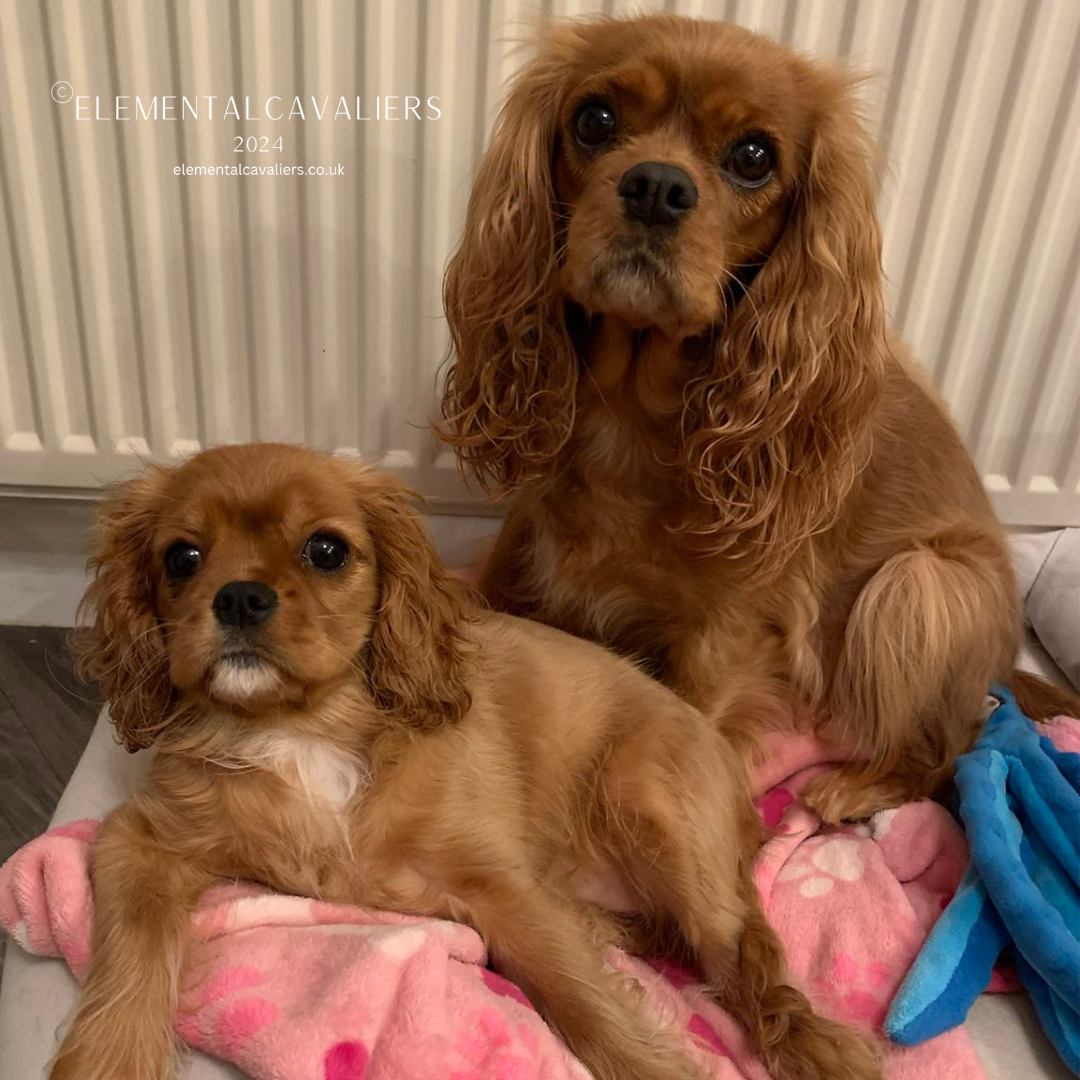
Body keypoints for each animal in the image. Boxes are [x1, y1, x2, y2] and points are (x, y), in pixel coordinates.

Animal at [52, 442, 876, 1080]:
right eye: (181, 558)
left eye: (326, 550)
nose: (241, 597)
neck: (305, 729)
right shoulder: (139, 843)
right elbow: (130, 963)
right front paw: (106, 1060)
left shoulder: (503, 889)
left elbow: (584, 1001)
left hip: (648, 797)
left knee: (744, 955)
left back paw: (817, 1046)